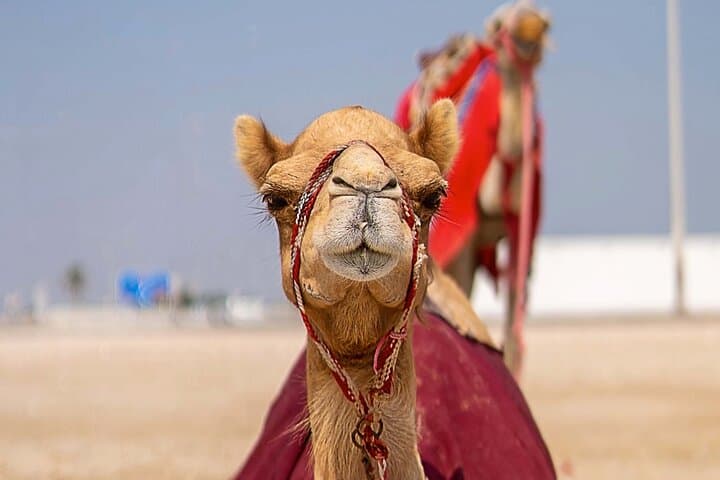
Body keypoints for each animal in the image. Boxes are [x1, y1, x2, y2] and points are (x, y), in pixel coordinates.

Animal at [395, 0, 551, 377]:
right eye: (500, 24)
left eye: (544, 20)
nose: (531, 29)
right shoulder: (463, 231)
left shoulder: (518, 228)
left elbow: (514, 312)